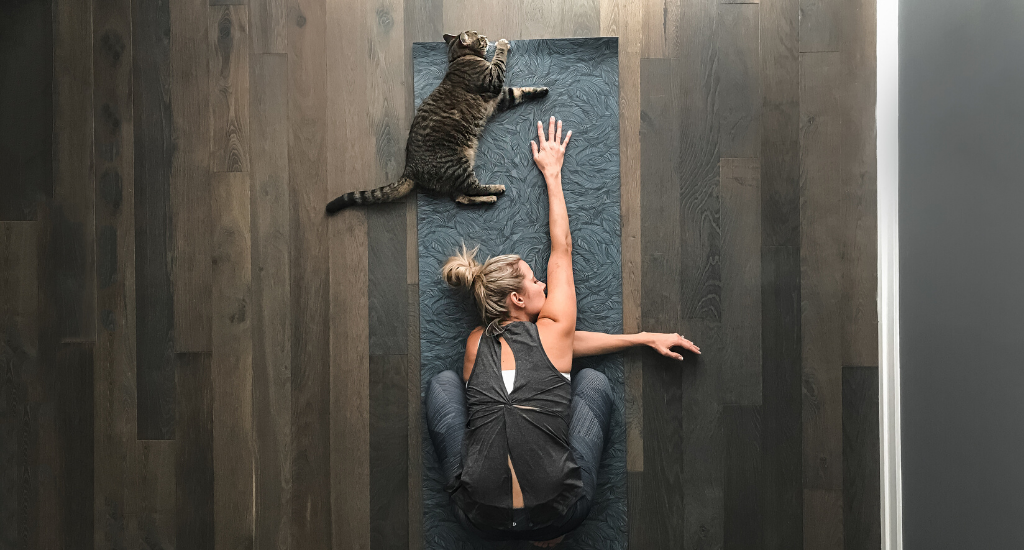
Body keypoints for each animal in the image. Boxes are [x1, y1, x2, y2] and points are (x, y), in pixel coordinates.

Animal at [327, 29, 552, 214]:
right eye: (479, 36)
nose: (486, 37)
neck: (459, 58)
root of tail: (409, 167)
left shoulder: (500, 98)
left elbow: (520, 91)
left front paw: (541, 90)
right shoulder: (493, 81)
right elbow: (499, 60)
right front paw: (502, 45)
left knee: (460, 197)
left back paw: (488, 198)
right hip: (459, 164)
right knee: (470, 188)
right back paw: (495, 189)